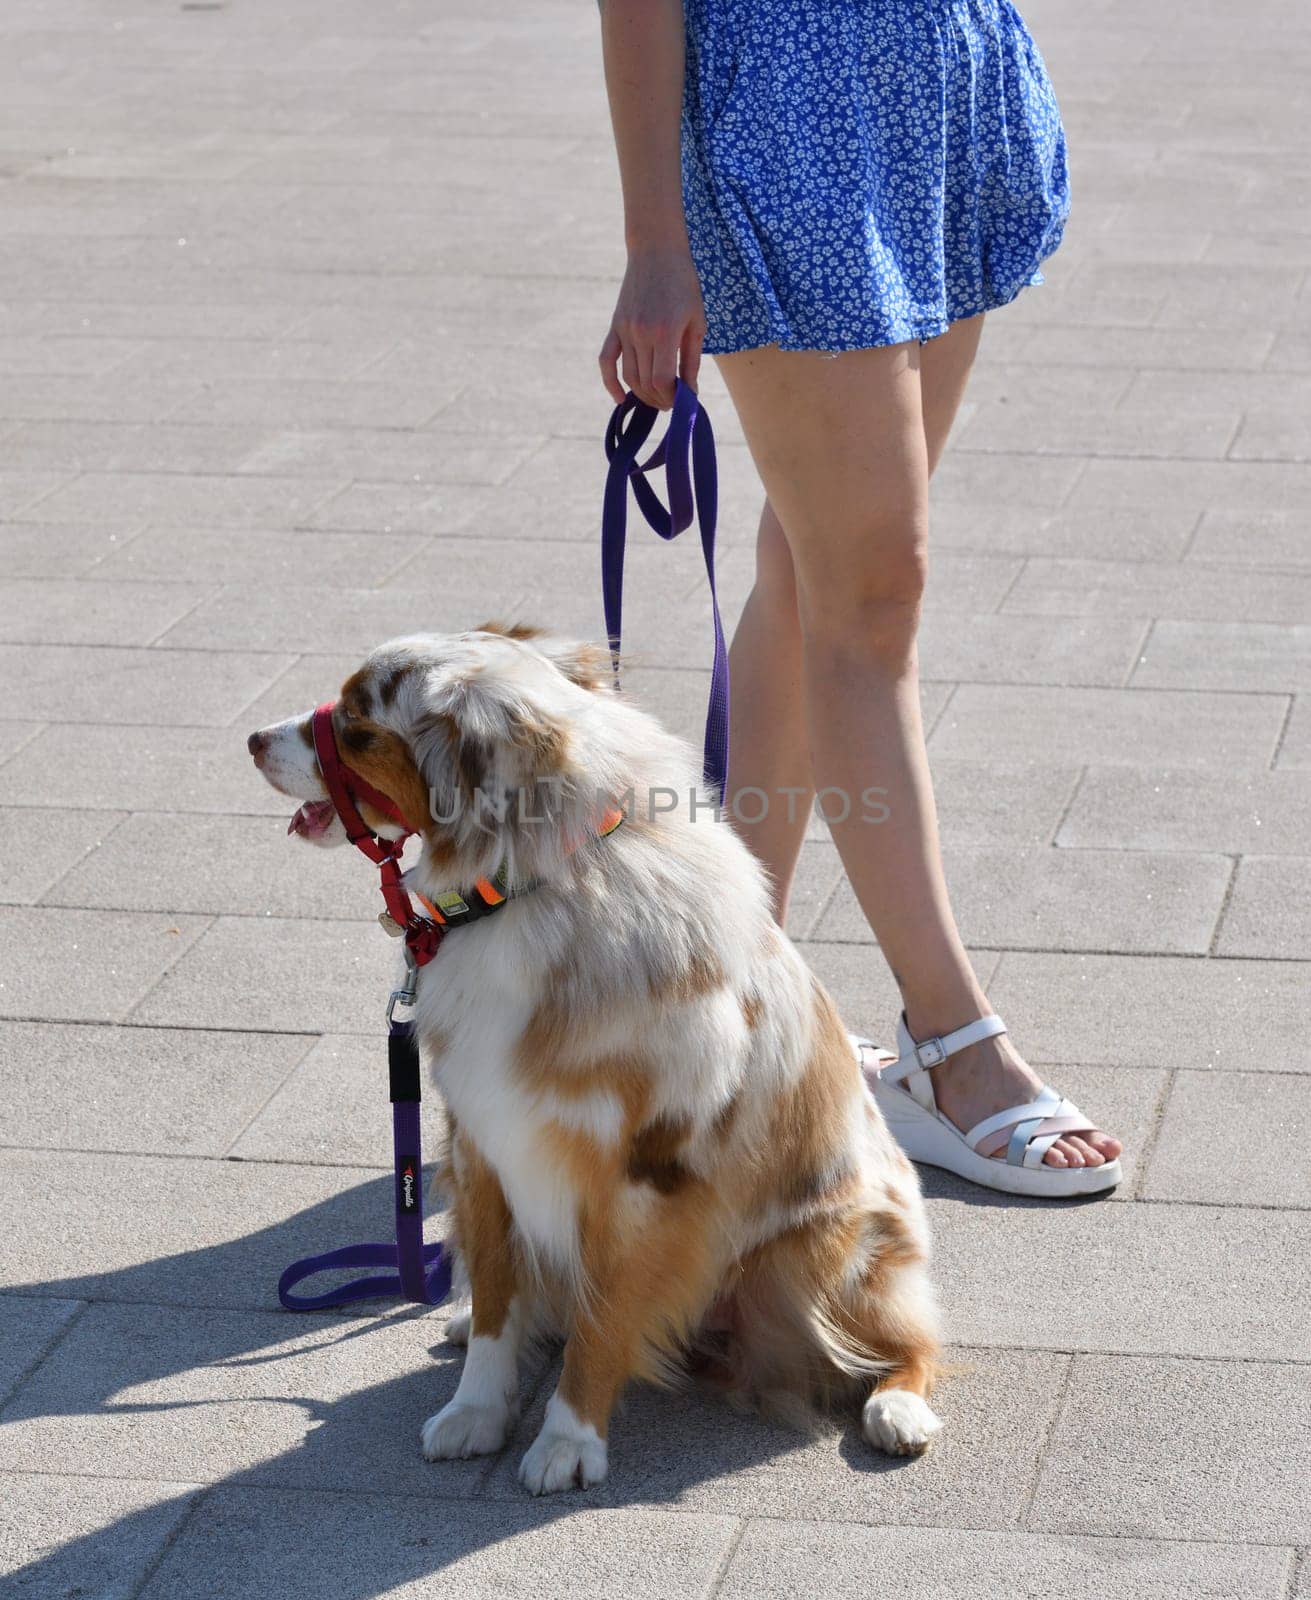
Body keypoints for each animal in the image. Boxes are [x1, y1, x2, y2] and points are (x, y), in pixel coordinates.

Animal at [248, 620, 941, 1484]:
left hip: (823, 1249)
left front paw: (567, 1439)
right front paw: (477, 1409)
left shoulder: (642, 1173)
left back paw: (898, 1406)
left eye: (357, 728)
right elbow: (498, 1306)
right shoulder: (480, 1142)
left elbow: (604, 1319)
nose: (251, 740)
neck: (530, 884)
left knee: (906, 1337)